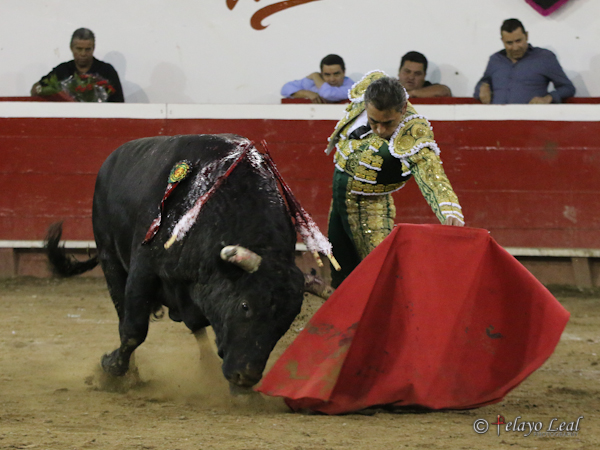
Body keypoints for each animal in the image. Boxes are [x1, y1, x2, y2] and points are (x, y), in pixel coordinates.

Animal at [46, 134, 306, 389]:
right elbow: (133, 331)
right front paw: (111, 368)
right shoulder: (143, 271)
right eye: (245, 305)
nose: (246, 376)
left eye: (287, 320)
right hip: (109, 256)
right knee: (122, 312)